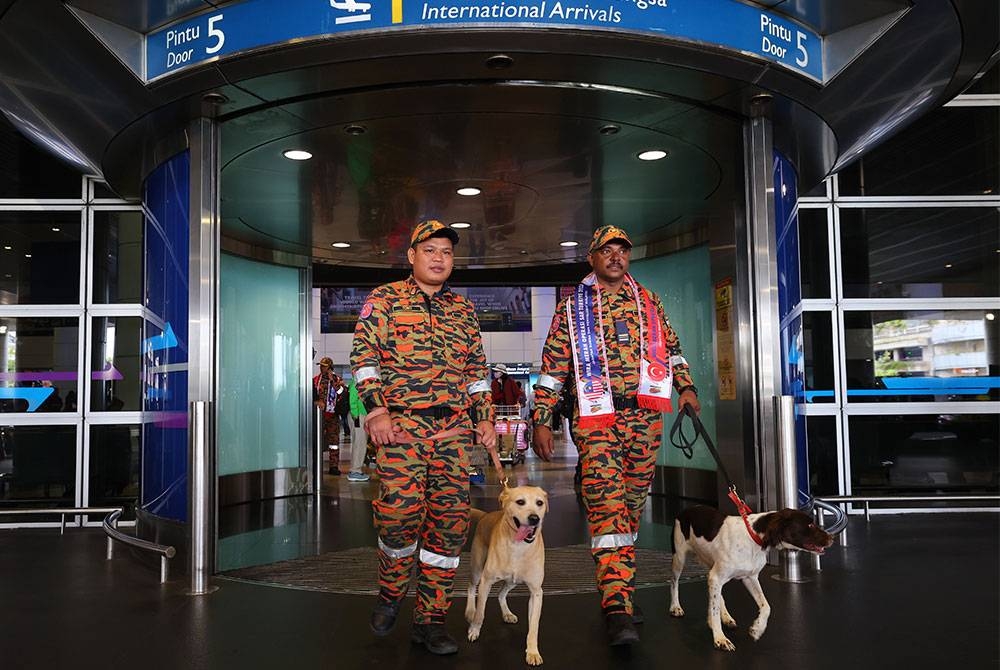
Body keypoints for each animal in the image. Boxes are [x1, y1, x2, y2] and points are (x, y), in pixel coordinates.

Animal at [466, 486, 548, 668]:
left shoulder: (536, 593)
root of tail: (486, 515)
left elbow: (534, 627)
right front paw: (474, 629)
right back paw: (470, 610)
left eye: (539, 503)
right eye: (520, 502)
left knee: (501, 593)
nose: (534, 519)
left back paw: (507, 613)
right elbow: (481, 612)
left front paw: (532, 652)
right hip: (476, 568)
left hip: (513, 581)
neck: (519, 546)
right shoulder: (486, 582)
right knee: (471, 587)